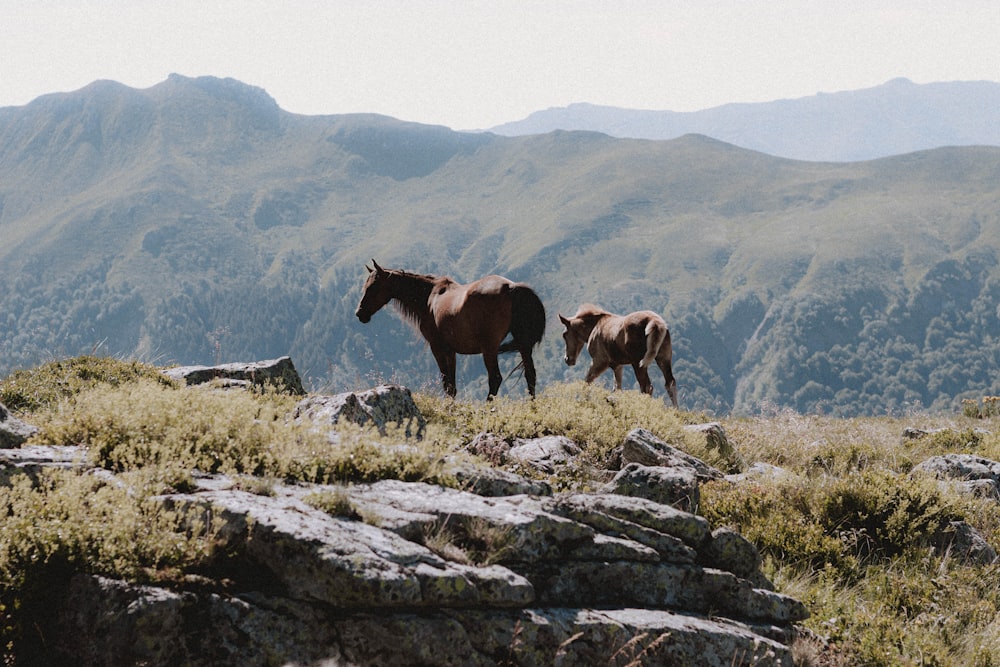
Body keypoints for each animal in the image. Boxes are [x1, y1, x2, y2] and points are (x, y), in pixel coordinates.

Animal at [358, 260, 548, 396]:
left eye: (372, 287)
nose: (360, 313)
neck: (429, 298)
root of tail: (511, 287)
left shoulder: (437, 348)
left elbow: (446, 384)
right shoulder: (451, 351)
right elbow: (452, 386)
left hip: (489, 349)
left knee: (495, 379)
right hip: (523, 344)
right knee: (530, 375)